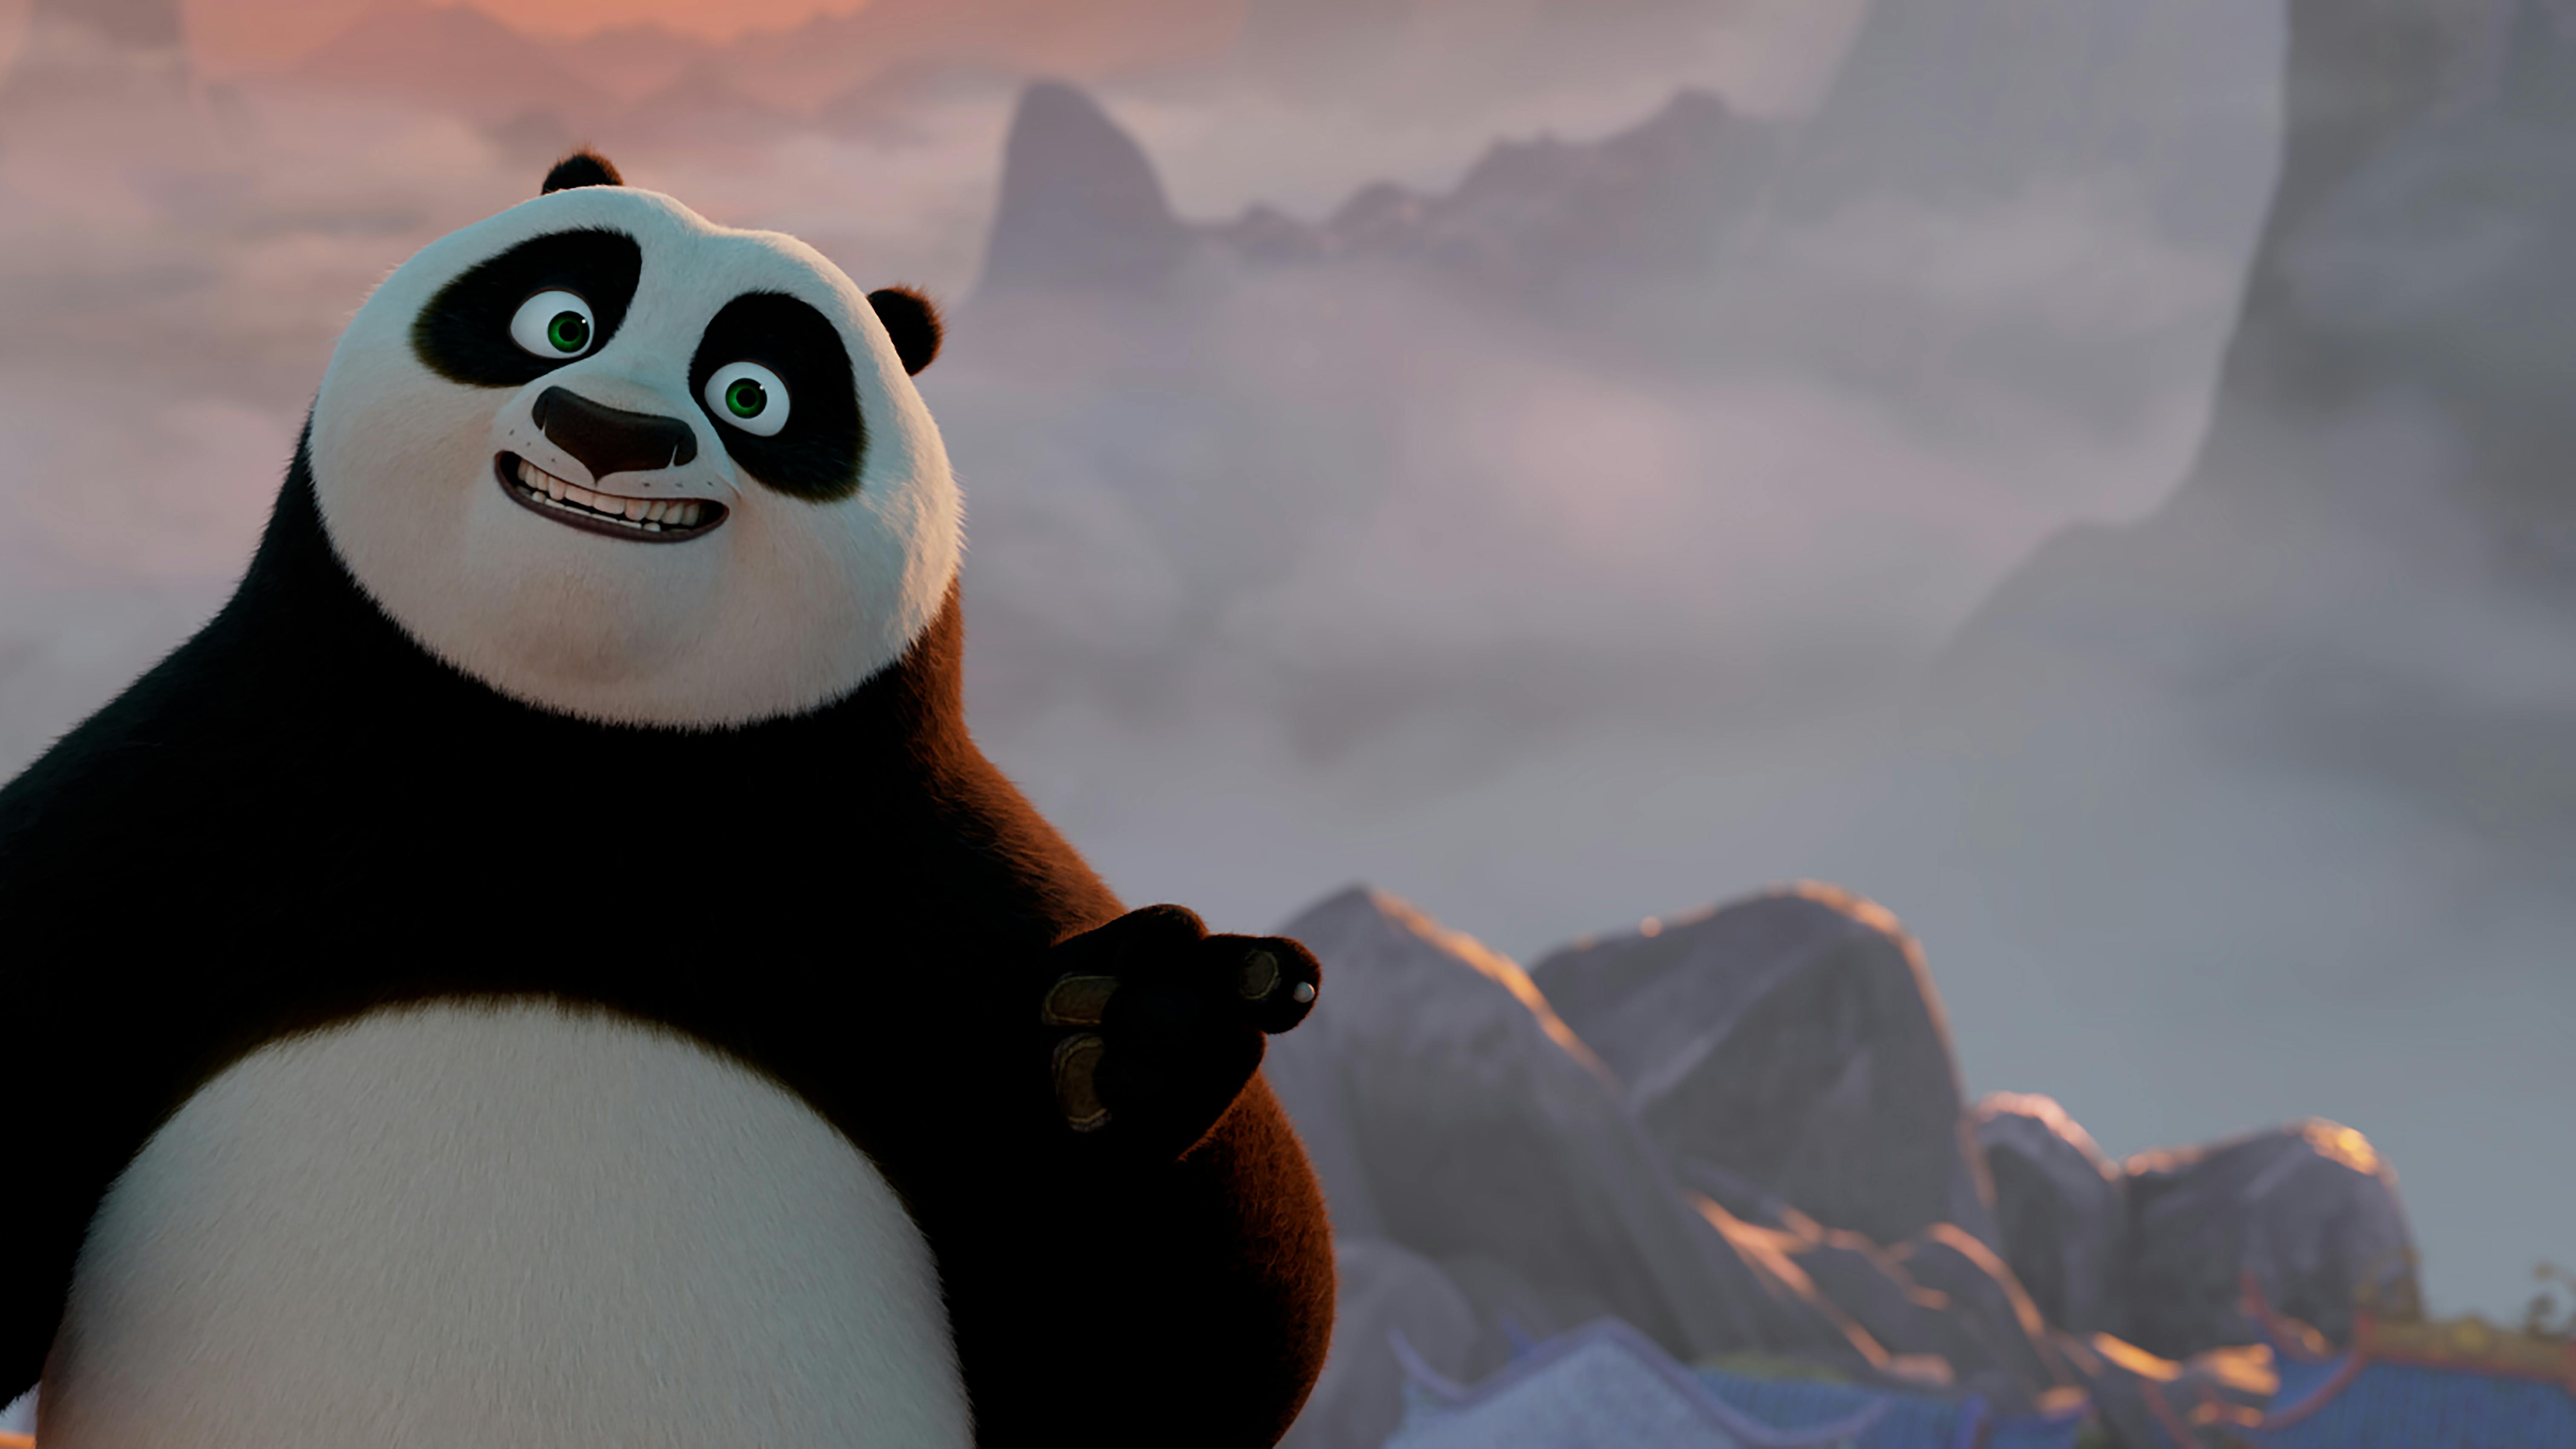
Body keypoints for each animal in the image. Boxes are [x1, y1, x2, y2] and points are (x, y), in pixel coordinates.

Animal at [0, 152, 1334, 1448]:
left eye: (754, 395)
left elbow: (1186, 1358)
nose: (609, 430)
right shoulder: (174, 811)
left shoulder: (931, 891)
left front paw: (1141, 1031)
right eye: (559, 323)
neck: (567, 758)